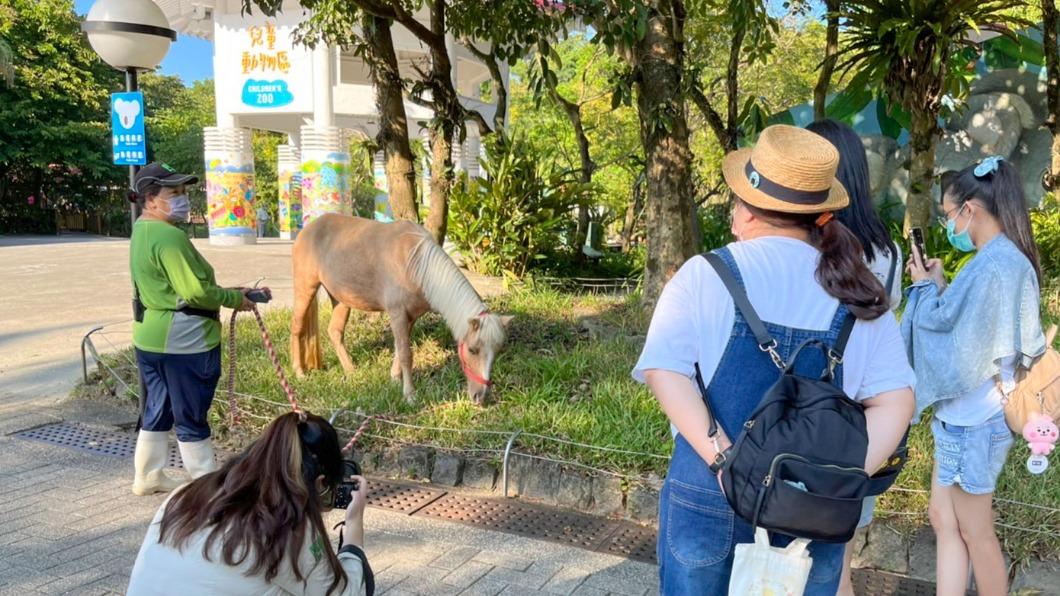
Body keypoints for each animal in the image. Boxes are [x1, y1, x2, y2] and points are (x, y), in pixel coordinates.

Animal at [290, 214, 512, 404]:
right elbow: (406, 353)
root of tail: (308, 228)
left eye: (497, 351)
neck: (415, 264)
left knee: (335, 332)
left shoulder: (410, 317)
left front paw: (395, 379)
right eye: (472, 350)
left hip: (342, 299)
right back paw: (299, 372)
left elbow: (400, 349)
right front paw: (410, 394)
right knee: (297, 327)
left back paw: (351, 372)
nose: (480, 397)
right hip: (305, 288)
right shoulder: (397, 313)